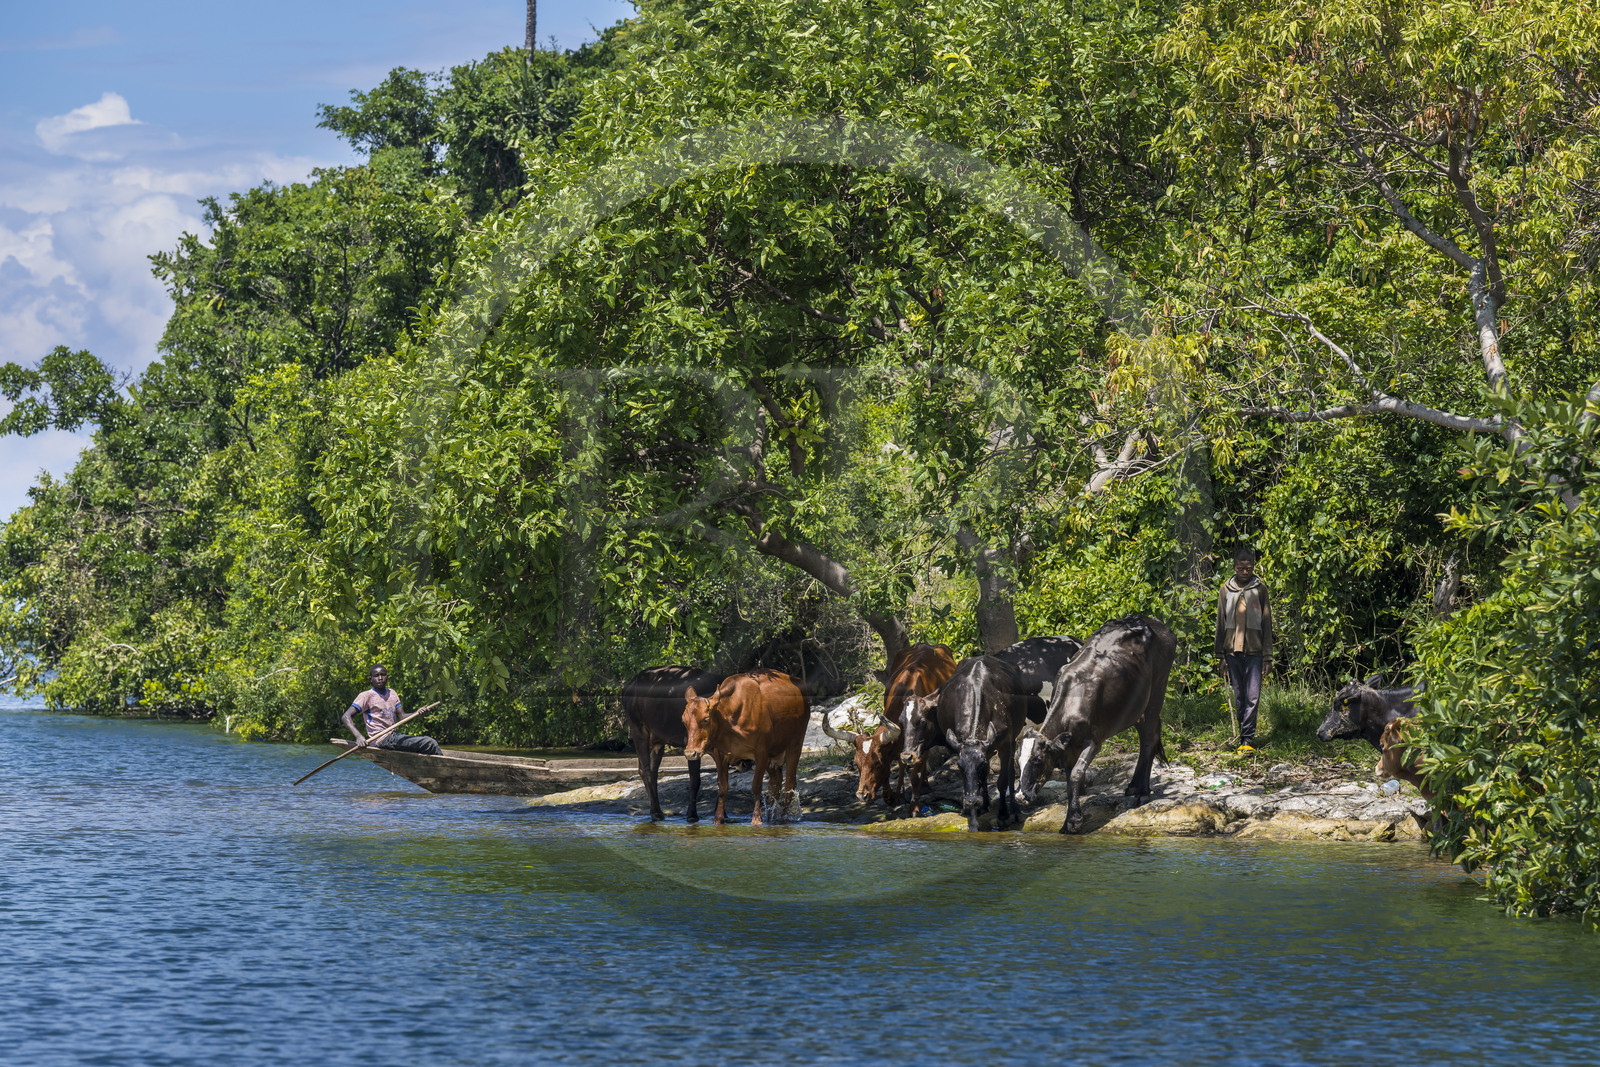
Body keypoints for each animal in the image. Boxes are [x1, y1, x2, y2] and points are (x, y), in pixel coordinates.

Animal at [621, 665, 723, 822]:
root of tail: (627, 688)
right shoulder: (690, 746)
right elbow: (695, 779)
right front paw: (692, 814)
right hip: (638, 730)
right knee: (645, 769)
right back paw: (656, 812)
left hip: (657, 740)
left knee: (652, 771)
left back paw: (658, 810)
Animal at [682, 669, 809, 826]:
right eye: (684, 720)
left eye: (705, 719)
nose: (690, 753)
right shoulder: (720, 755)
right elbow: (722, 788)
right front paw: (718, 819)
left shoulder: (761, 752)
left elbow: (756, 786)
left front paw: (756, 818)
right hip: (773, 757)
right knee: (775, 785)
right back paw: (771, 816)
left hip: (795, 745)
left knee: (789, 784)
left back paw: (783, 818)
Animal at [900, 655, 1023, 830]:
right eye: (901, 723)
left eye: (922, 721)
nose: (906, 756)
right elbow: (970, 783)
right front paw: (972, 815)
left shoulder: (1005, 744)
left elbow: (1002, 781)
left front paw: (1003, 815)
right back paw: (984, 805)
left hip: (1013, 740)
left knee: (1011, 773)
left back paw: (1014, 810)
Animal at [1015, 614, 1177, 834]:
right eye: (1017, 762)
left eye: (1038, 760)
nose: (1019, 797)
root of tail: (1152, 621)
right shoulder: (1069, 747)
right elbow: (1070, 779)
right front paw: (1069, 821)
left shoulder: (1093, 740)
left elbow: (1076, 774)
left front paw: (1074, 820)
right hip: (1135, 706)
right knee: (1144, 735)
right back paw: (1134, 786)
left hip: (1157, 692)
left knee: (1149, 739)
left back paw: (1142, 792)